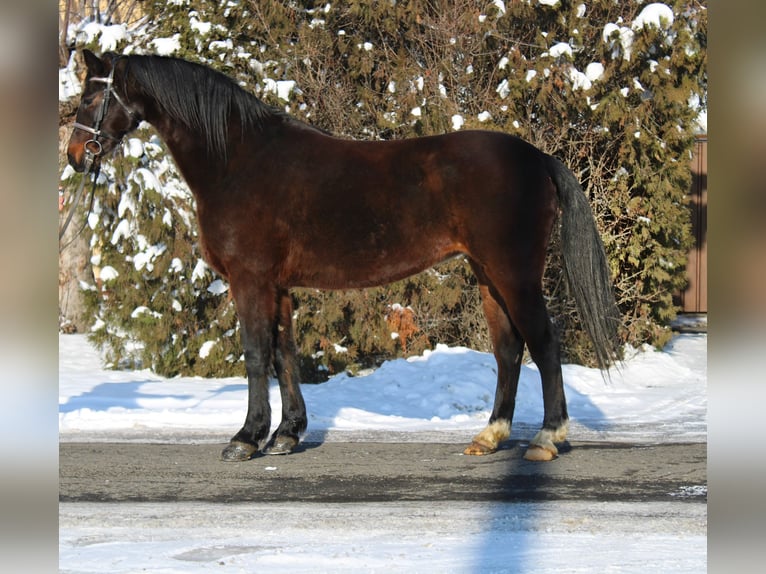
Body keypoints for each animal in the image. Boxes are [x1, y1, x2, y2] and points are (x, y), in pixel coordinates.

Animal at [67, 50, 621, 462]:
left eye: (91, 95)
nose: (75, 156)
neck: (238, 160)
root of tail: (537, 157)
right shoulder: (278, 284)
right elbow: (284, 354)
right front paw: (287, 434)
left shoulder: (250, 279)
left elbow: (255, 353)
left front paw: (246, 438)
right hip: (488, 275)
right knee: (509, 350)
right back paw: (489, 437)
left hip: (515, 273)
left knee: (545, 344)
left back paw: (547, 438)